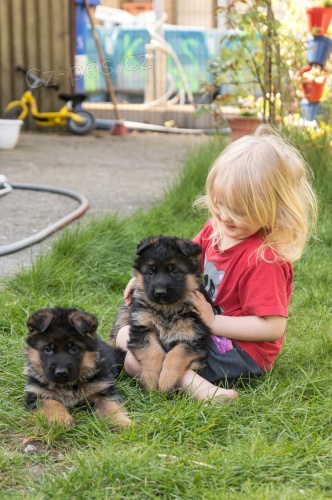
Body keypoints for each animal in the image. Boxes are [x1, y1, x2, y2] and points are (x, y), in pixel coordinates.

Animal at [110, 235, 211, 394]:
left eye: (174, 271)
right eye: (151, 272)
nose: (160, 292)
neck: (166, 311)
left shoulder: (194, 337)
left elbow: (175, 355)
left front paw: (166, 382)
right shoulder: (141, 327)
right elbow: (152, 352)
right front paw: (152, 380)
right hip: (124, 315)